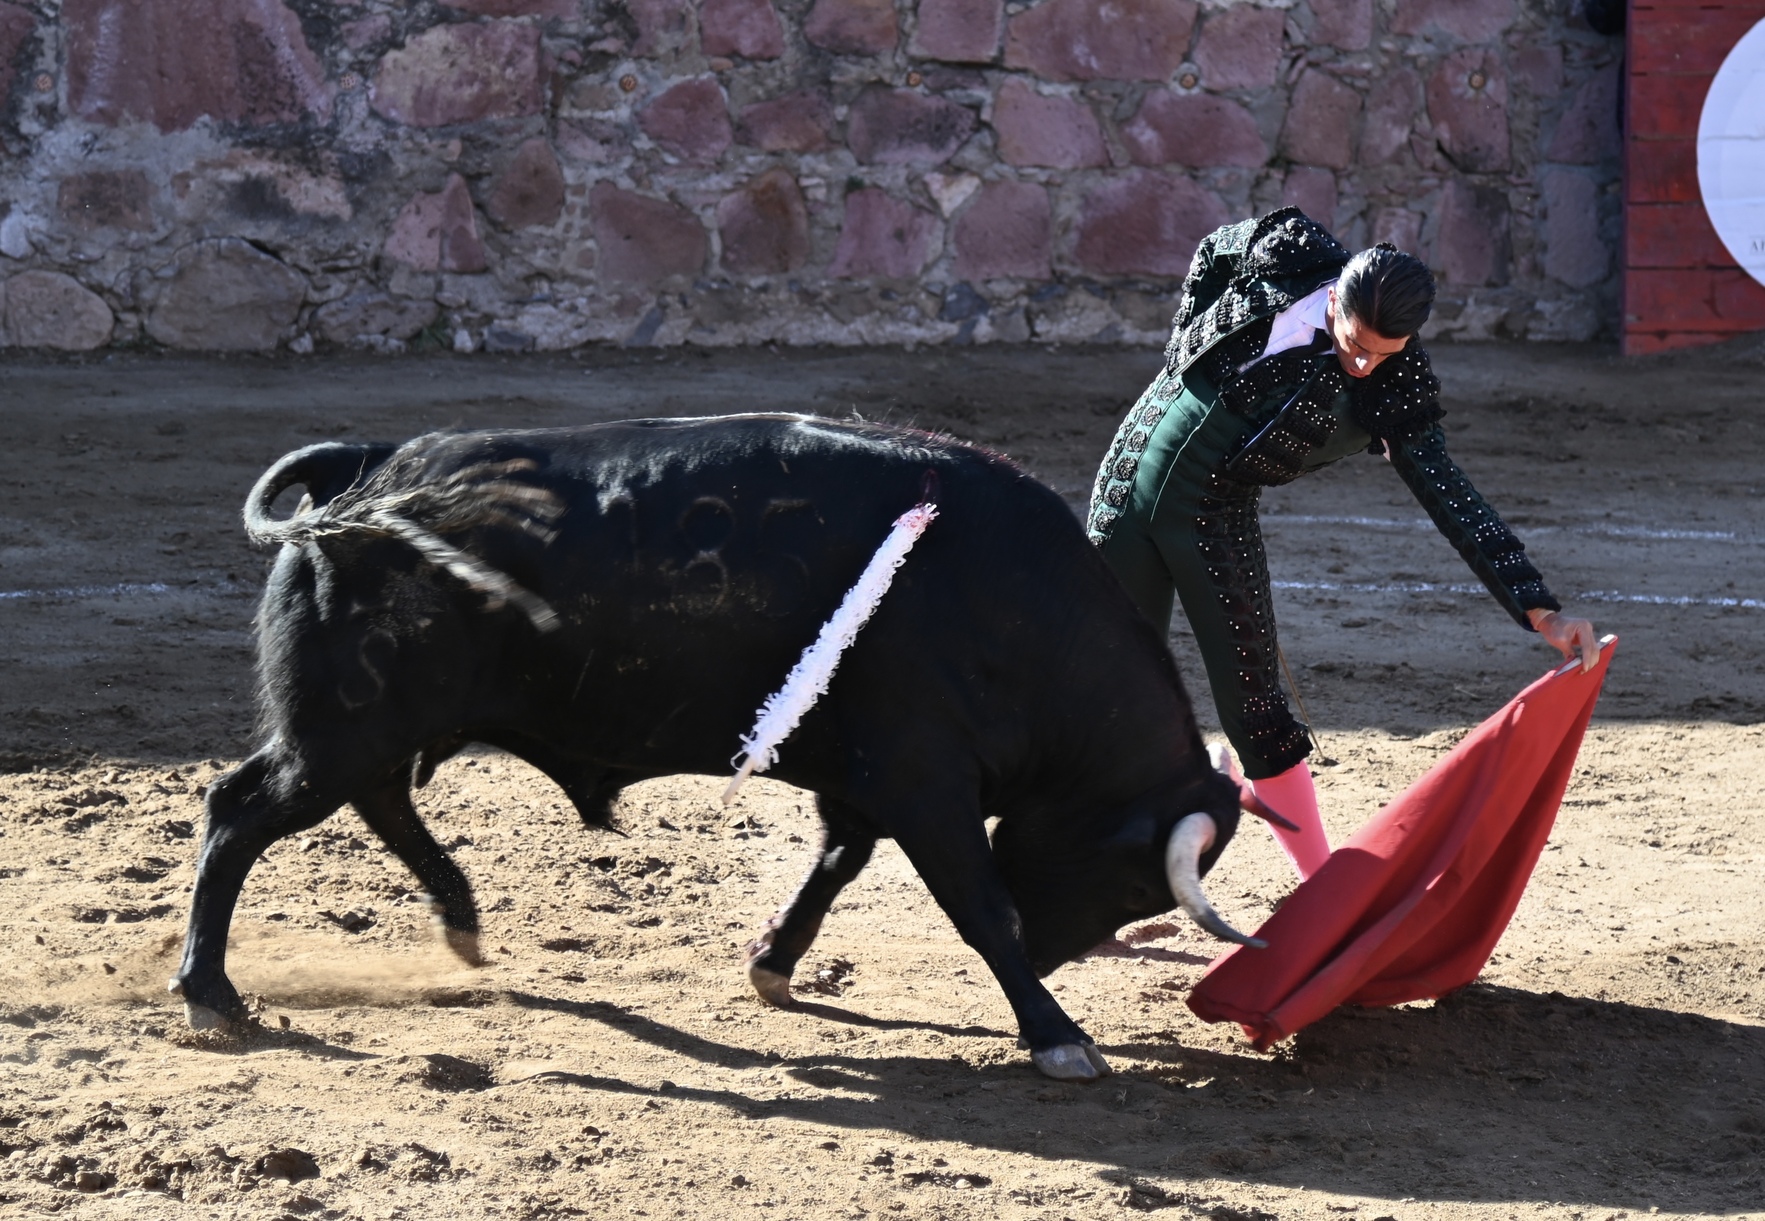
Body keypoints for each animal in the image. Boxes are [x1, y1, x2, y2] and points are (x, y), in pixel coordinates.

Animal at [171, 414, 1278, 1081]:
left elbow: (836, 863)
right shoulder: (925, 780)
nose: (1058, 957)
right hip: (342, 725)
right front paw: (1056, 1035)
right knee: (242, 811)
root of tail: (365, 464)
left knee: (377, 803)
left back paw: (462, 923)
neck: (1005, 596)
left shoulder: (872, 781)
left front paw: (772, 966)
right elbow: (980, 907)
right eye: (1131, 880)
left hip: (371, 727)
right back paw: (212, 996)